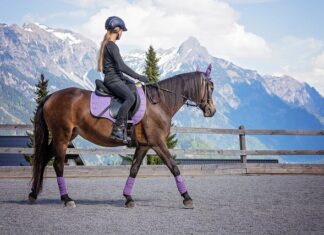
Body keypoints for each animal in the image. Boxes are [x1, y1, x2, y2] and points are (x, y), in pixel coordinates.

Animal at [27, 65, 215, 208]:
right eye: (211, 88)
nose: (212, 111)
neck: (159, 103)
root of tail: (51, 96)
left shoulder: (144, 145)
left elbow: (134, 169)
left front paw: (128, 198)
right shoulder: (158, 143)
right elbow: (173, 167)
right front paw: (187, 197)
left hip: (66, 136)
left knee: (43, 159)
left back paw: (33, 194)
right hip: (62, 137)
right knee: (58, 165)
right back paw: (67, 199)